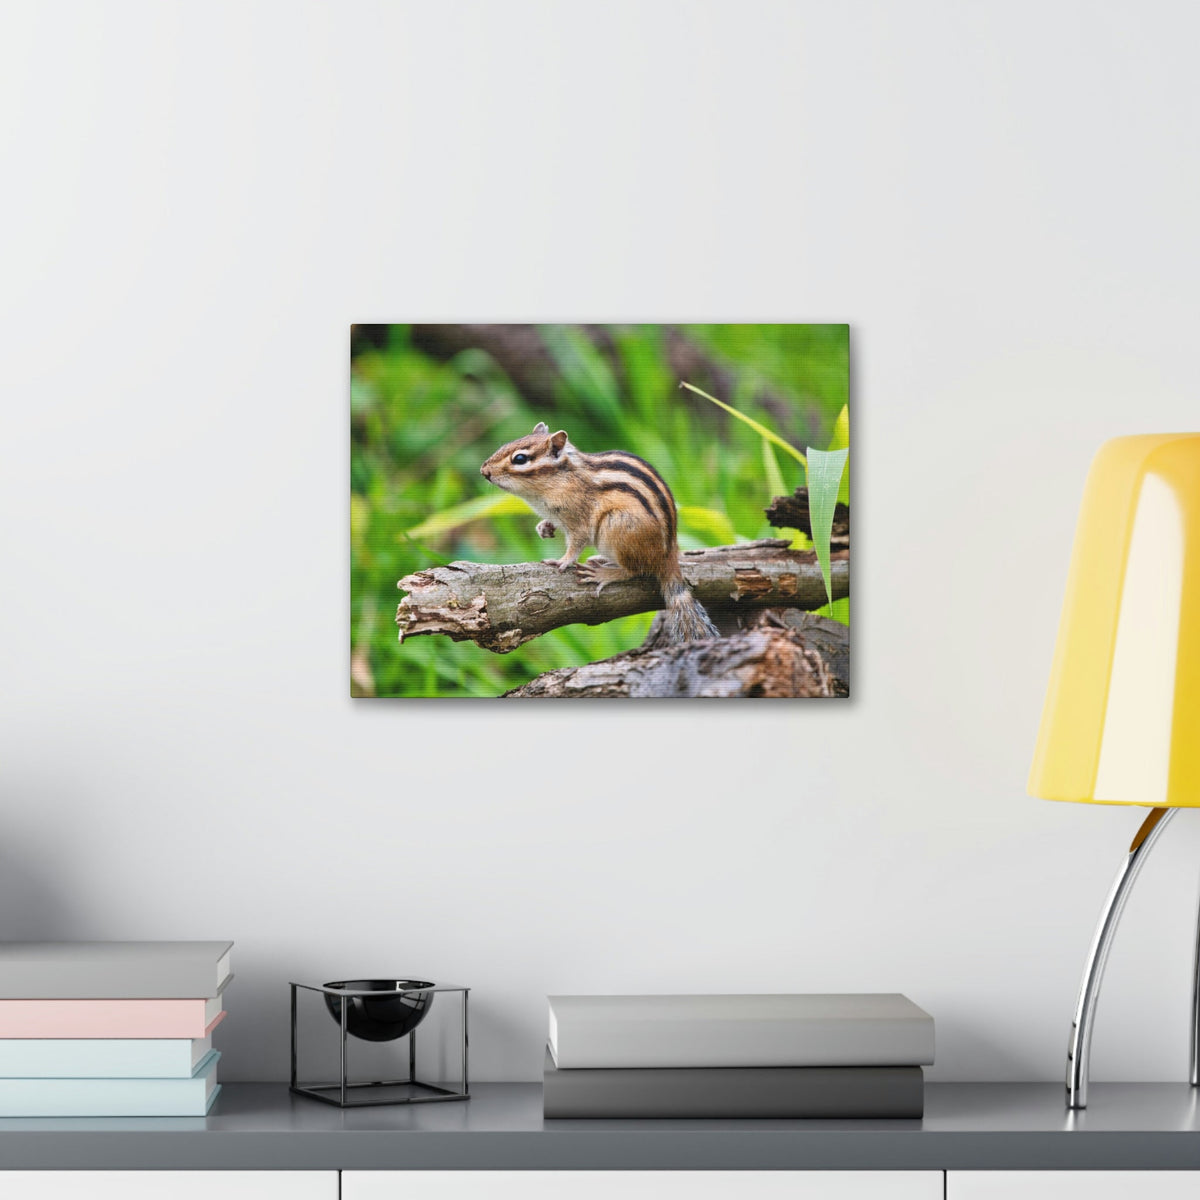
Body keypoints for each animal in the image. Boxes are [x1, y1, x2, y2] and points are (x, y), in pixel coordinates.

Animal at [480, 422, 720, 643]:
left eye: (520, 459)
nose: (484, 471)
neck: (560, 479)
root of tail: (668, 556)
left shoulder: (579, 519)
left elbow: (577, 543)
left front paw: (563, 561)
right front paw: (544, 527)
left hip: (616, 525)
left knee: (635, 570)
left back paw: (604, 573)